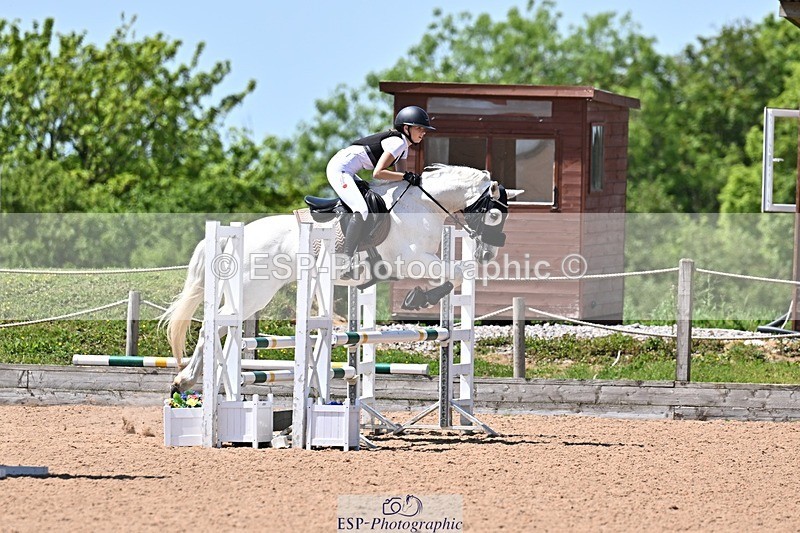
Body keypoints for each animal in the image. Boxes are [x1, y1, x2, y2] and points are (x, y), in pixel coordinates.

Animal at [162, 164, 521, 393]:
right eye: (493, 213)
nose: (487, 254)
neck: (423, 205)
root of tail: (233, 236)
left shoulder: (421, 263)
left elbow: (451, 277)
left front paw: (419, 297)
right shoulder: (414, 260)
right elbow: (458, 272)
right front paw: (422, 297)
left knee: (218, 327)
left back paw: (187, 380)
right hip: (253, 293)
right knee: (213, 326)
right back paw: (185, 380)